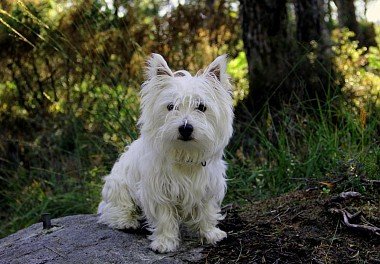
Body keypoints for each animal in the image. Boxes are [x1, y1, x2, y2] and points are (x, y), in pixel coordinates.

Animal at [97, 52, 235, 253]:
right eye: (171, 106)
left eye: (201, 107)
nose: (185, 128)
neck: (184, 156)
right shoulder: (158, 190)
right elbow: (164, 217)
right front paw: (165, 242)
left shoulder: (207, 186)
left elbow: (206, 211)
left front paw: (211, 233)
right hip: (119, 187)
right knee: (113, 210)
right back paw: (126, 221)